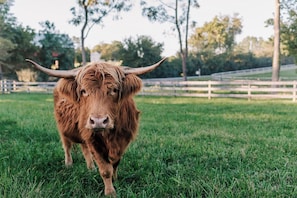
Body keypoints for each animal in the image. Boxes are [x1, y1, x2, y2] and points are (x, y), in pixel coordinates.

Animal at [25, 57, 165, 196]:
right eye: (83, 91)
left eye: (114, 90)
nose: (98, 121)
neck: (110, 135)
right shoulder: (93, 140)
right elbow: (105, 169)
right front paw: (110, 192)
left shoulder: (124, 139)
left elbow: (115, 162)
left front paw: (115, 179)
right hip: (63, 129)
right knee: (67, 146)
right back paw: (69, 164)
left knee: (84, 148)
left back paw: (91, 168)